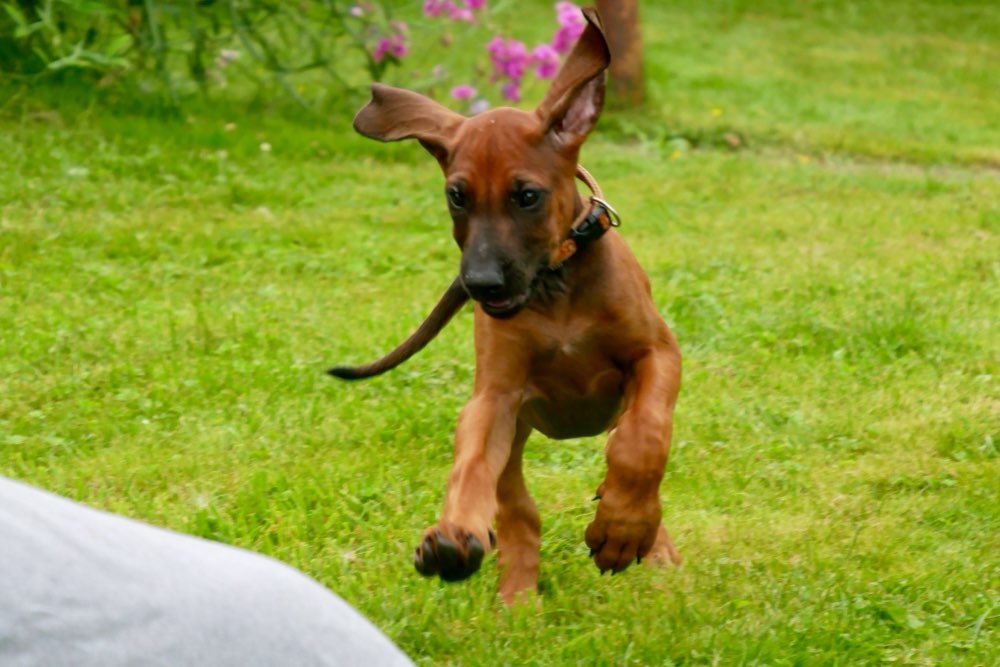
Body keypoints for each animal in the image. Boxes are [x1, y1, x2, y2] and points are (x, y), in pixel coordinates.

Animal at [332, 7, 684, 608]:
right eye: (456, 196)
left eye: (527, 196)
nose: (481, 285)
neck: (556, 290)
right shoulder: (494, 400)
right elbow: (472, 465)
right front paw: (452, 537)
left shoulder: (657, 354)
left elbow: (644, 438)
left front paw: (622, 528)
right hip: (516, 440)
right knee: (520, 513)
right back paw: (512, 595)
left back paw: (651, 545)